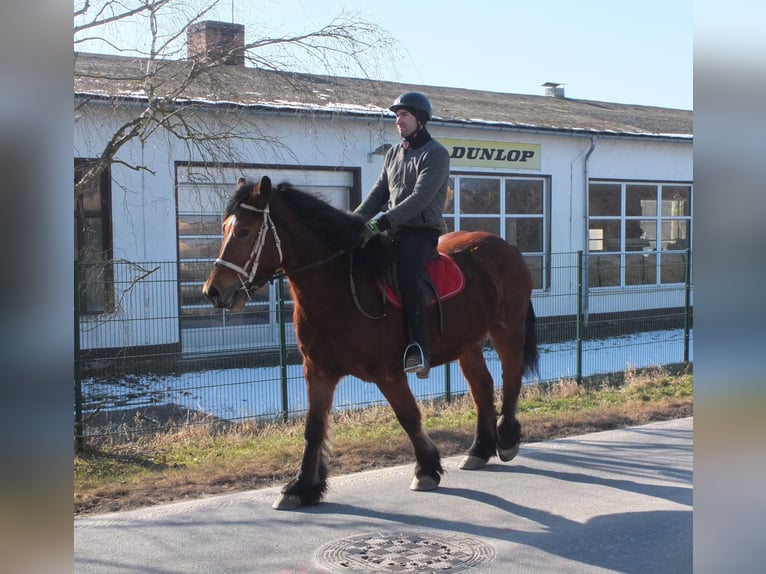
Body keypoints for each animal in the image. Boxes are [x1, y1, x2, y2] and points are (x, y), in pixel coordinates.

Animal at [204, 177, 540, 512]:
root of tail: (506, 246)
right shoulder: (318, 371)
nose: (213, 291)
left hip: (507, 330)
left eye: (244, 231)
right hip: (467, 344)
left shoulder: (387, 373)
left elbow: (408, 416)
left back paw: (506, 439)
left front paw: (427, 469)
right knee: (482, 387)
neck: (341, 285)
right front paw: (301, 487)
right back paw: (479, 450)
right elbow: (314, 428)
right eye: (224, 227)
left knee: (511, 378)